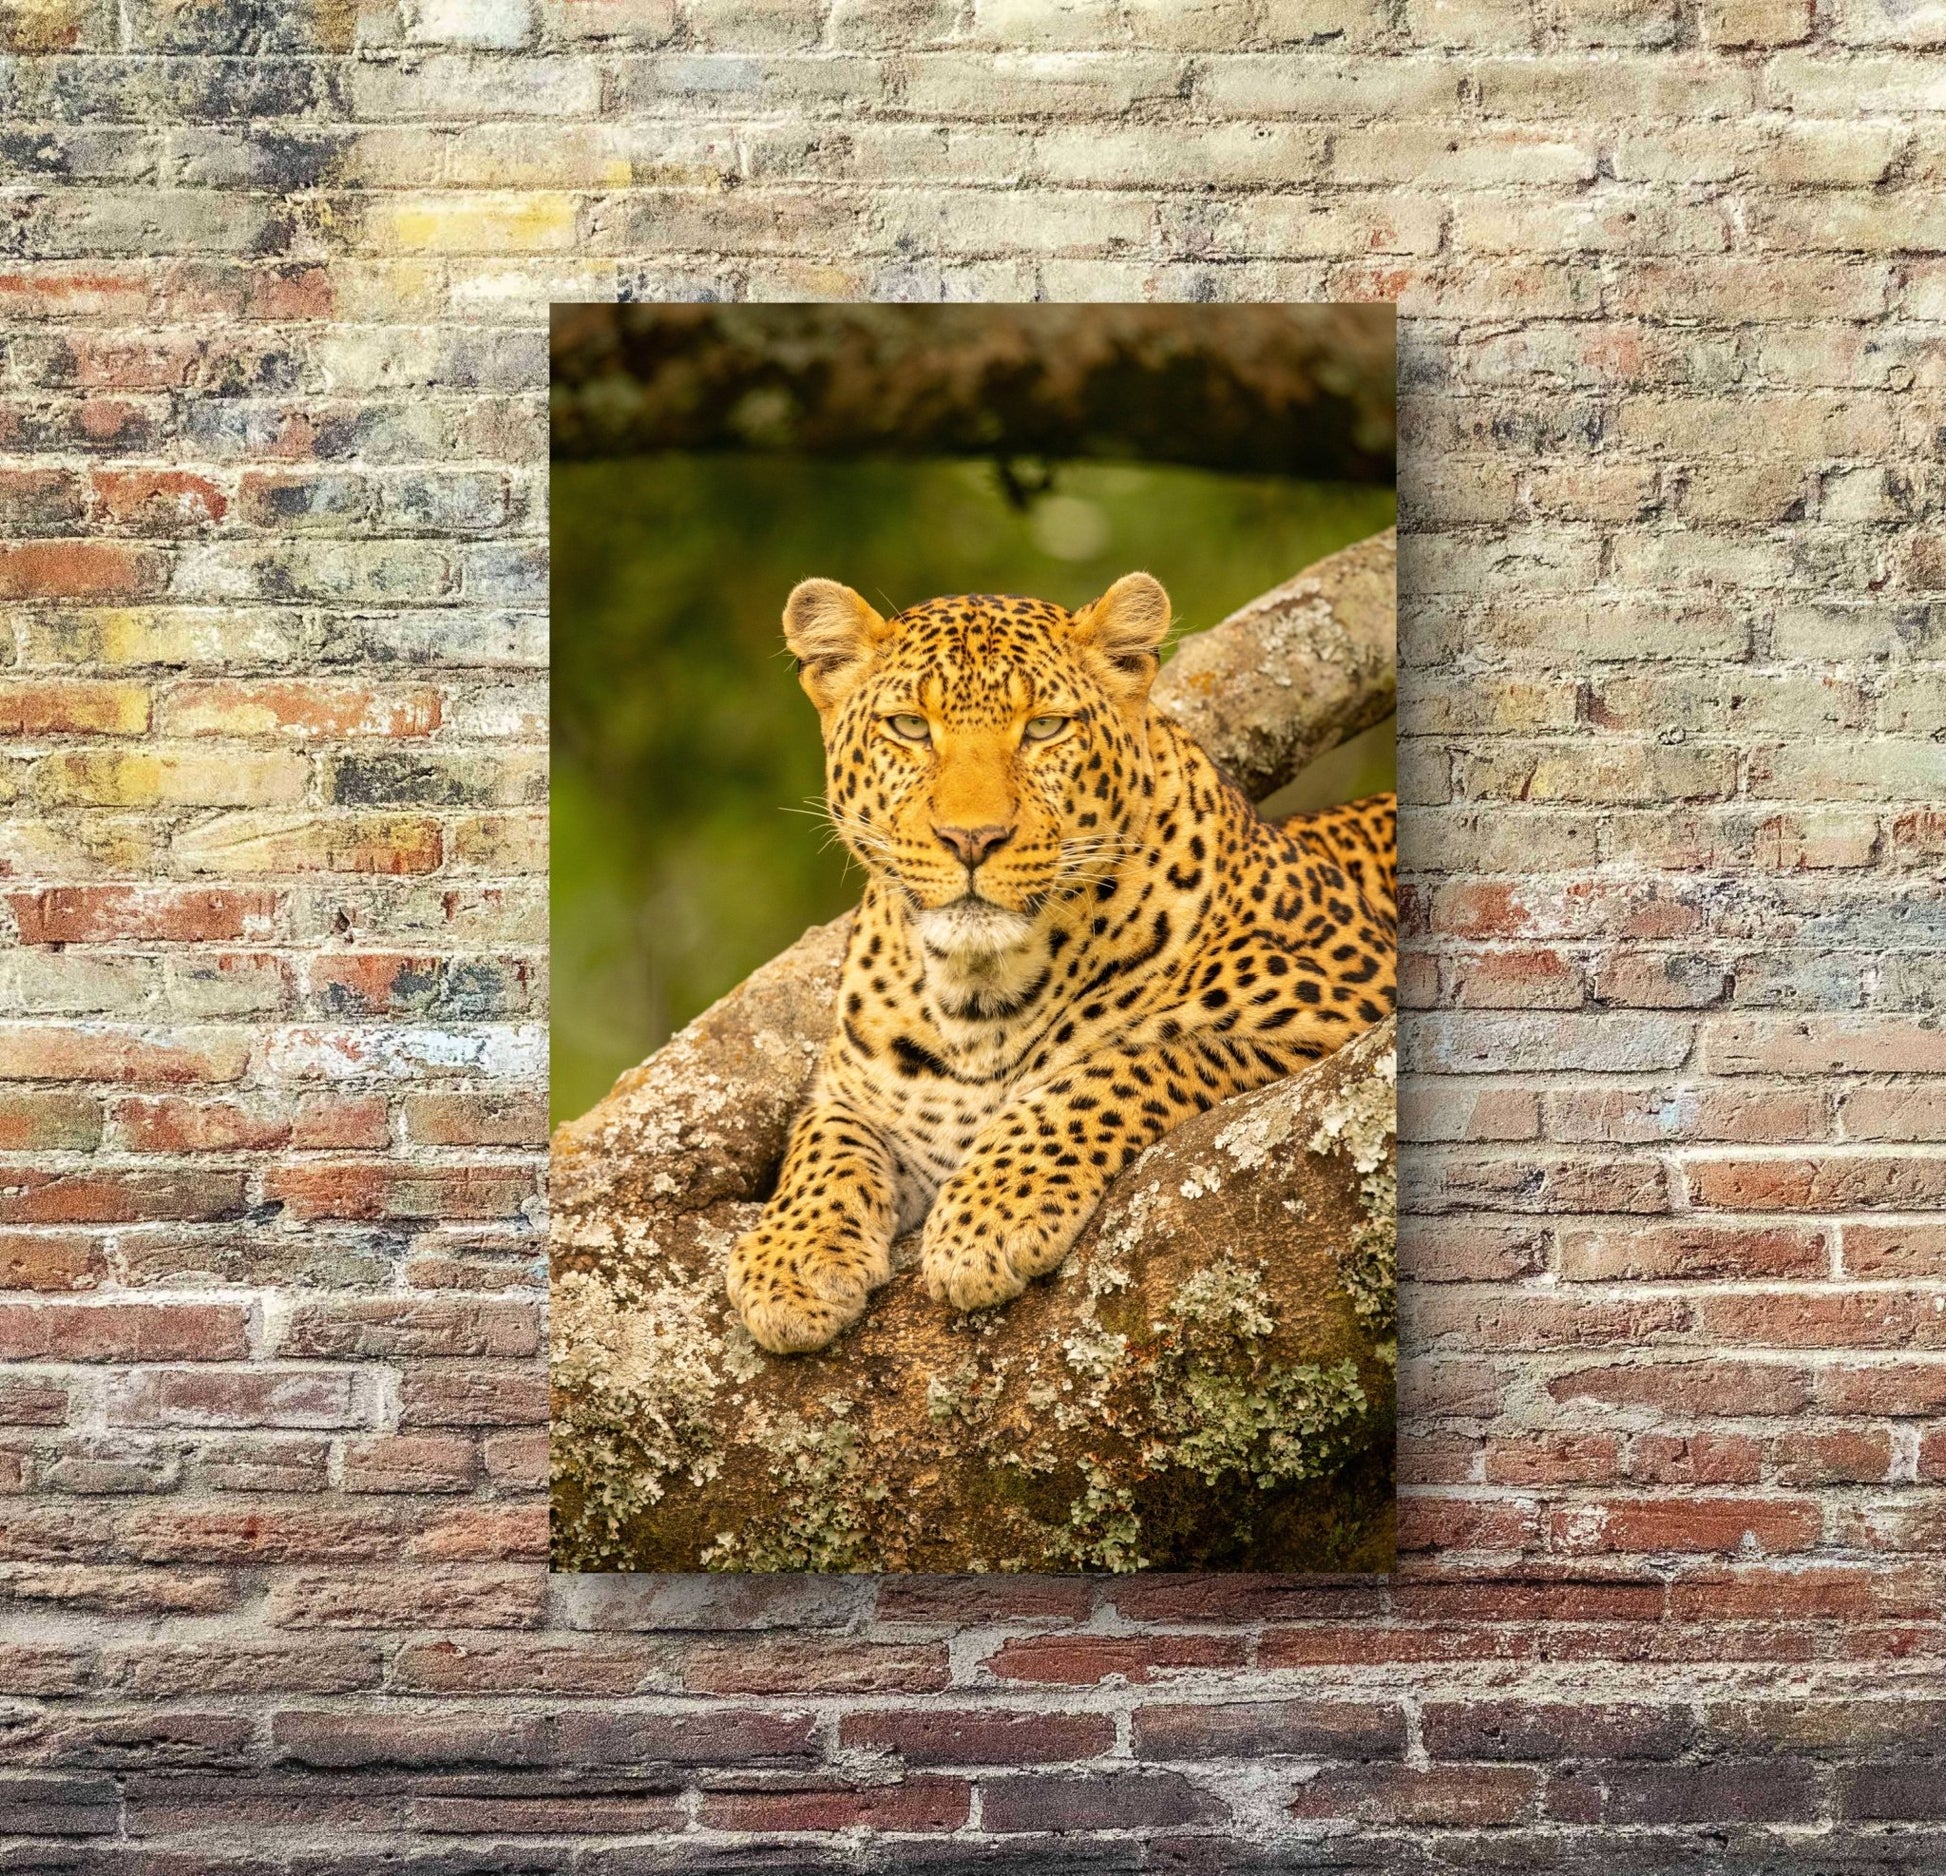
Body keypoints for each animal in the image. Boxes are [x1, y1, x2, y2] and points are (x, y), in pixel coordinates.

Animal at [726, 571, 1396, 1356]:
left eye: (1045, 728)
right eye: (910, 727)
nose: (972, 838)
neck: (977, 995)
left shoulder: (1346, 999)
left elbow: (1122, 1065)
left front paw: (989, 1214)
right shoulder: (856, 1088)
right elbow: (823, 1141)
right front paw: (792, 1257)